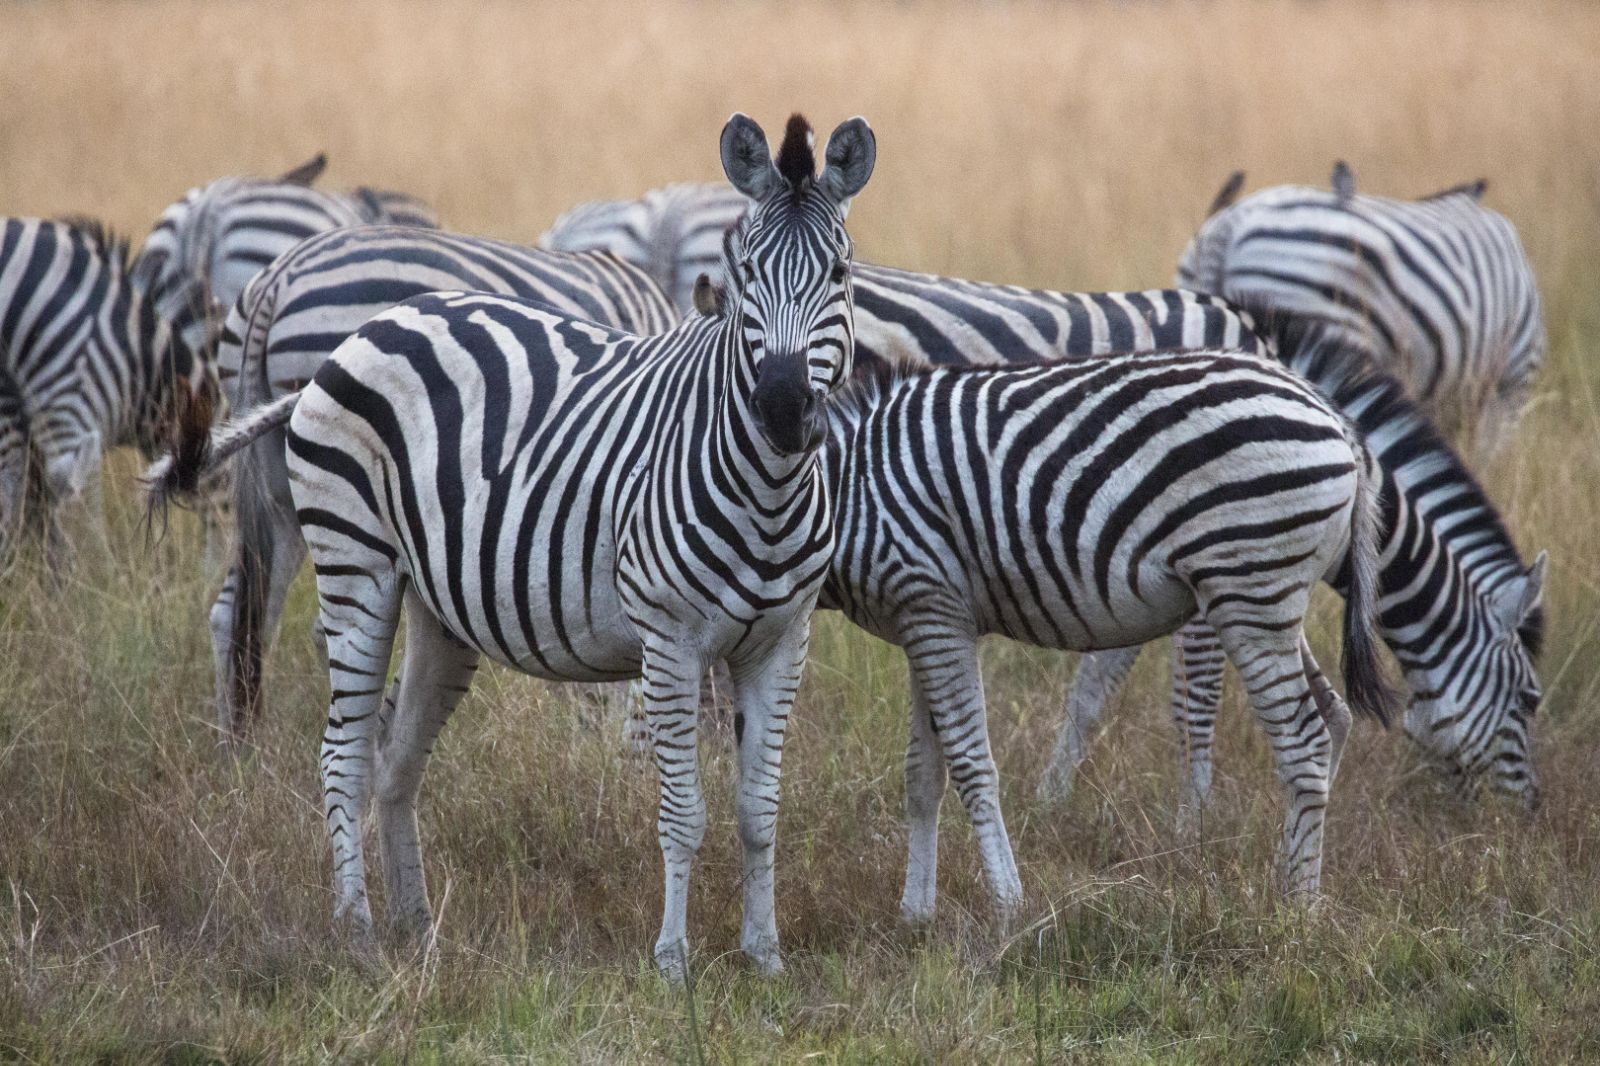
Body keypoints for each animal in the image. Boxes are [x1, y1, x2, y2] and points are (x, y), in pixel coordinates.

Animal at [812, 347, 1393, 916]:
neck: (849, 491)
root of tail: (1331, 415)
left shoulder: (933, 604)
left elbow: (970, 763)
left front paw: (1007, 907)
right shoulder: (918, 619)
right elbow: (922, 772)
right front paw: (915, 915)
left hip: (1250, 580)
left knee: (1304, 742)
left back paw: (1298, 911)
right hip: (1263, 597)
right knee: (1333, 716)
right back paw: (1285, 874)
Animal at [1039, 319, 1547, 814]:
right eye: (1528, 701)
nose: (1523, 818)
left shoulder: (1123, 575)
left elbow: (1093, 688)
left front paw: (1052, 799)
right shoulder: (1205, 568)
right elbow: (1195, 702)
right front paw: (1195, 821)